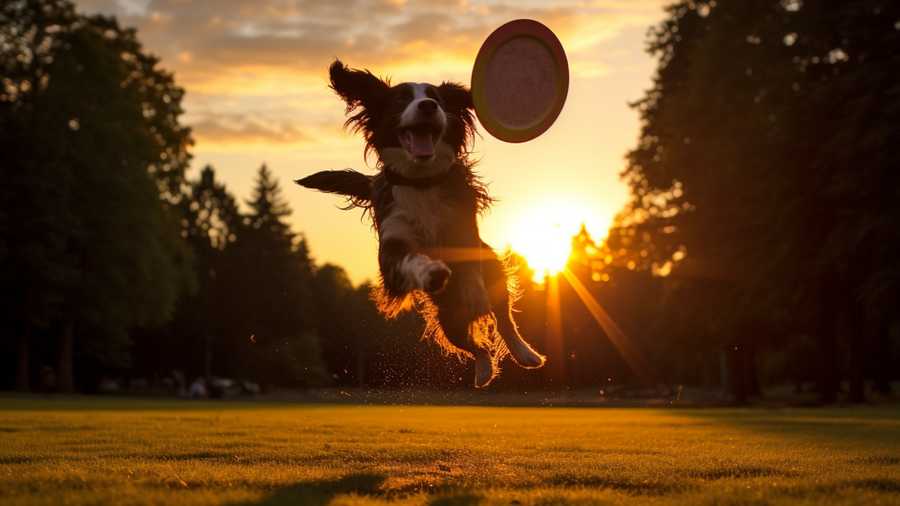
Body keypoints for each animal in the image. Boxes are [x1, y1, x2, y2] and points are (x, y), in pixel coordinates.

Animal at [298, 60, 544, 388]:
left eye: (436, 98)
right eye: (401, 99)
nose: (427, 105)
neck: (421, 181)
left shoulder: (464, 230)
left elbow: (470, 268)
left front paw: (469, 289)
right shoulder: (393, 243)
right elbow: (409, 260)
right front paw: (431, 271)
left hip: (495, 273)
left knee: (503, 317)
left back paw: (525, 354)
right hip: (449, 319)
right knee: (472, 345)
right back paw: (483, 372)